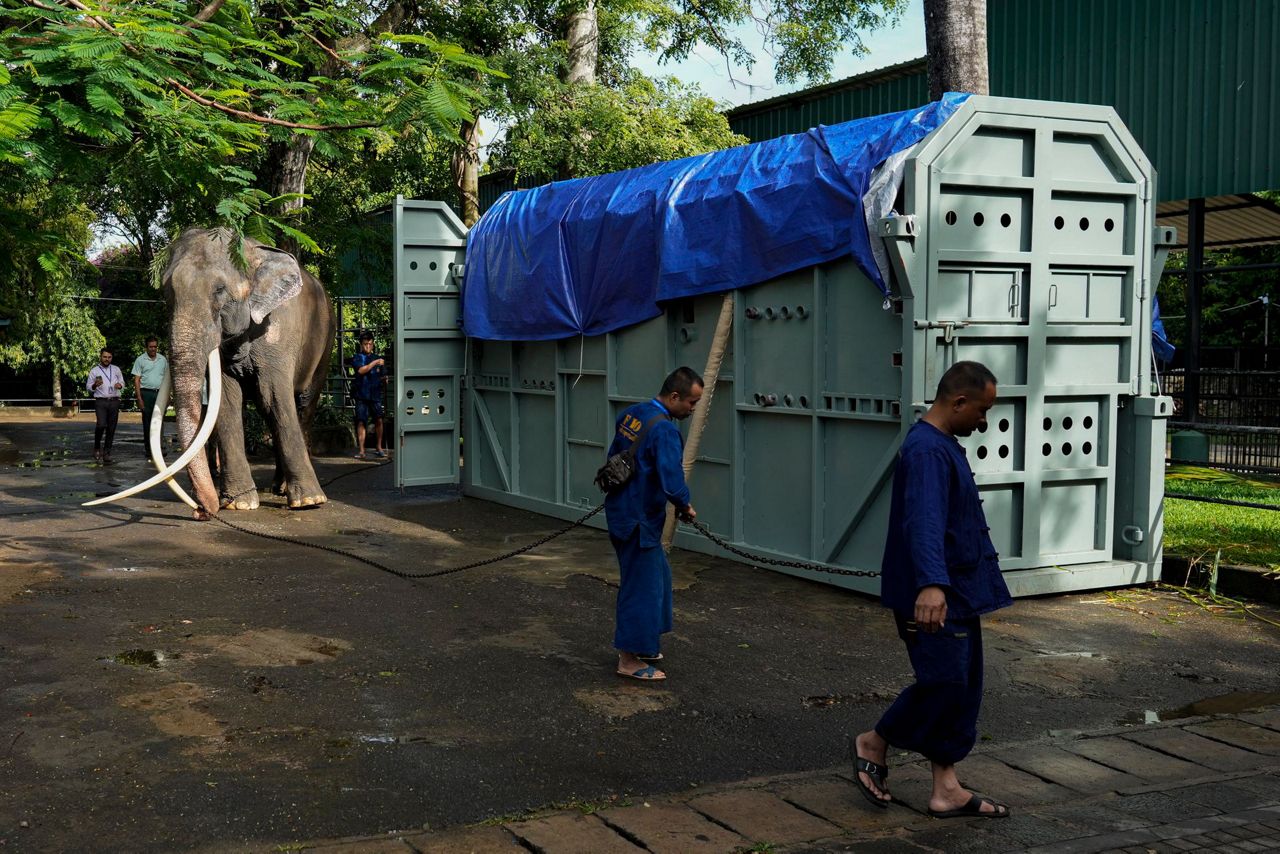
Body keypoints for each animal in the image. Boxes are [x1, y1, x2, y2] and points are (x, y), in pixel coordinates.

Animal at [92, 229, 337, 522]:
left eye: (219, 290)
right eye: (167, 295)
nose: (201, 511)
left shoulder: (278, 331)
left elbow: (273, 396)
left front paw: (309, 502)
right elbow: (228, 403)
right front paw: (239, 504)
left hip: (325, 341)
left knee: (301, 405)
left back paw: (290, 491)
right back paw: (276, 488)